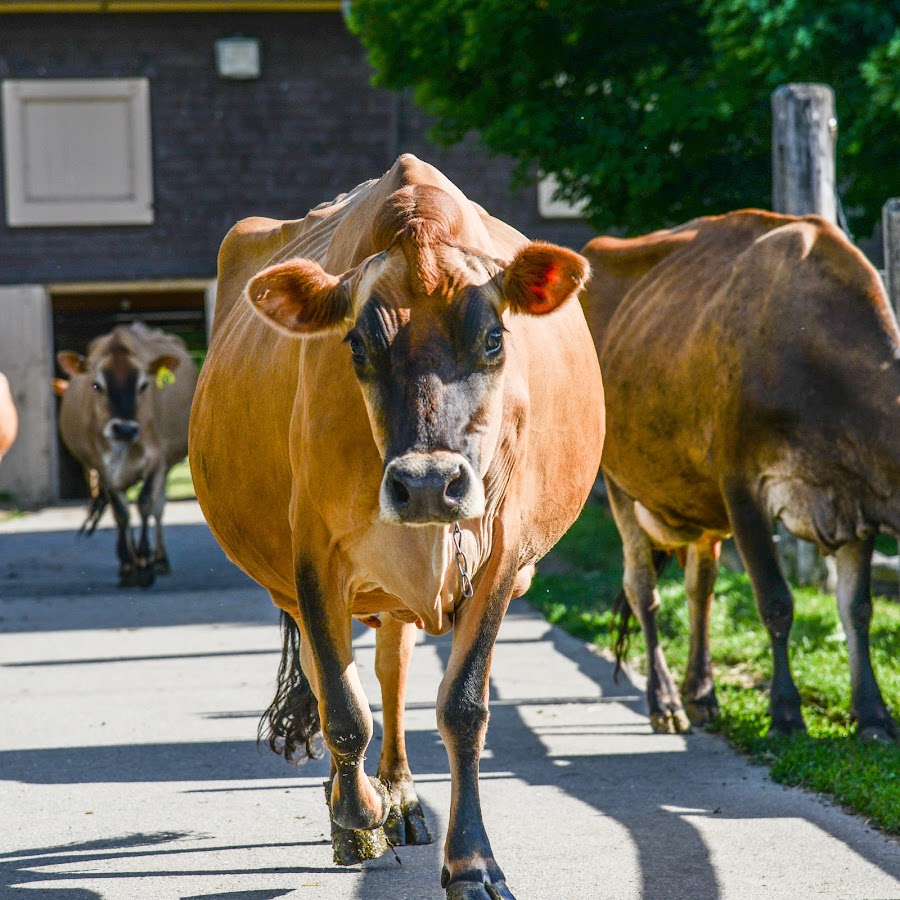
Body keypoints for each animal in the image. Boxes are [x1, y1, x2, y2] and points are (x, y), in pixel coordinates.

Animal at [57, 320, 199, 588]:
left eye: (143, 385)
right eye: (96, 385)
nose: (124, 428)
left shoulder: (156, 458)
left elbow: (145, 503)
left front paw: (145, 561)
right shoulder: (102, 467)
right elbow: (121, 513)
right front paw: (129, 564)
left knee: (158, 506)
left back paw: (159, 559)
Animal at [190, 156, 604, 900]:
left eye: (493, 338)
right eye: (357, 345)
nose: (428, 484)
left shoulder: (501, 557)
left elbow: (463, 708)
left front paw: (471, 862)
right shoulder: (314, 560)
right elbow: (343, 708)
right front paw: (355, 817)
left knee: (392, 668)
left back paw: (405, 796)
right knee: (337, 679)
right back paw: (358, 806)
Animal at [580, 213, 900, 744]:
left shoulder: (855, 497)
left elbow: (857, 608)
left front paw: (873, 714)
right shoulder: (742, 487)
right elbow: (775, 601)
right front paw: (786, 713)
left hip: (698, 504)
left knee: (700, 589)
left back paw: (702, 694)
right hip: (621, 481)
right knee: (642, 589)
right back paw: (666, 702)